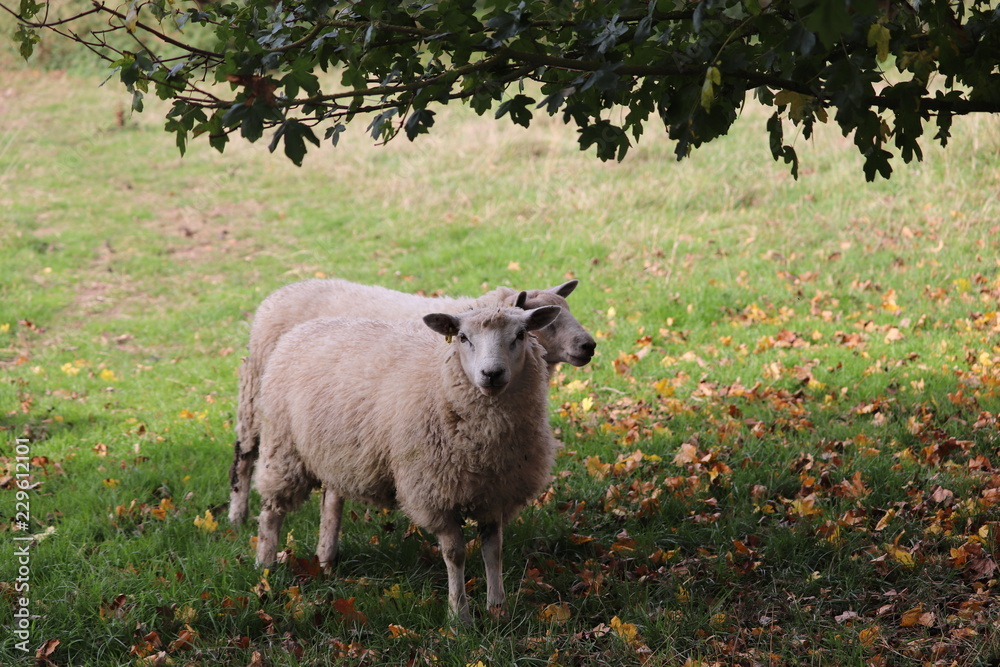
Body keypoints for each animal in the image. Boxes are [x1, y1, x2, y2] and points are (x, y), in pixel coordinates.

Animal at [229, 278, 595, 526]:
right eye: (551, 322)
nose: (589, 345)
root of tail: (277, 294)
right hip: (258, 396)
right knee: (244, 456)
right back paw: (237, 516)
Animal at [253, 298, 562, 623]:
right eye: (463, 337)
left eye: (520, 335)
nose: (492, 373)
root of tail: (301, 329)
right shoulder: (435, 493)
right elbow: (455, 555)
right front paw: (459, 616)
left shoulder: (495, 492)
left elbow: (494, 551)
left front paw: (497, 610)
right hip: (283, 446)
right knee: (271, 510)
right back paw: (265, 566)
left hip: (336, 453)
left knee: (331, 502)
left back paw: (326, 561)